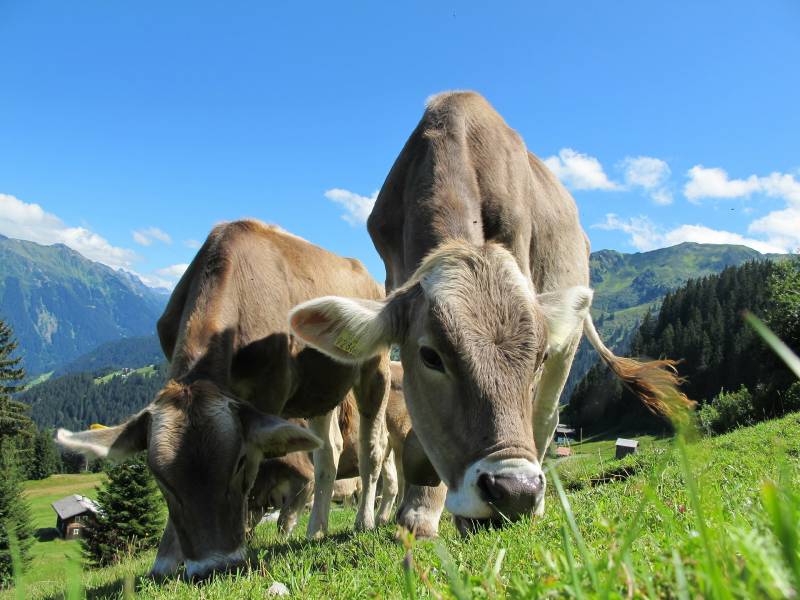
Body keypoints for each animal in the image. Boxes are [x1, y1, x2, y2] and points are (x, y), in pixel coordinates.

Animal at [57, 220, 390, 576]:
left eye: (239, 462)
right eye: (159, 477)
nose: (213, 567)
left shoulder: (268, 394)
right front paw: (167, 558)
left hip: (375, 368)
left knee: (373, 448)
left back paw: (364, 521)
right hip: (320, 390)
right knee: (329, 452)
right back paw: (316, 529)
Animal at [290, 91, 692, 536]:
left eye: (538, 357)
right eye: (430, 356)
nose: (515, 491)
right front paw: (419, 512)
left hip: (568, 344)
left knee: (546, 417)